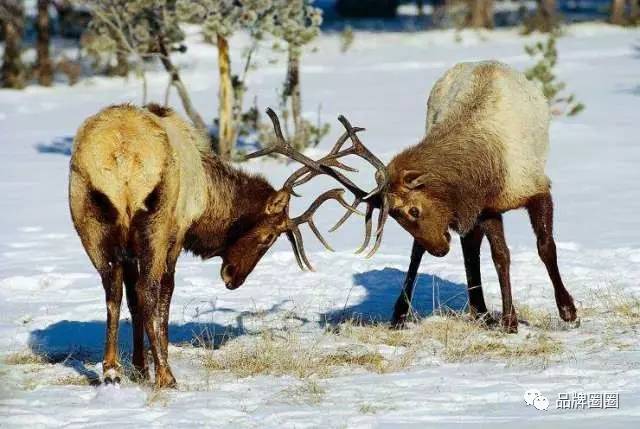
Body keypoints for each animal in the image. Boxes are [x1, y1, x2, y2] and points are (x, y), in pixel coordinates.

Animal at [68, 104, 376, 388]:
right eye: (269, 237)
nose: (233, 278)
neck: (208, 195)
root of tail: (121, 155)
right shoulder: (177, 233)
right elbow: (163, 296)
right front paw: (156, 366)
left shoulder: (131, 252)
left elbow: (130, 301)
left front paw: (141, 368)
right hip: (156, 223)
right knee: (148, 291)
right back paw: (166, 376)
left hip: (89, 222)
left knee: (113, 292)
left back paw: (111, 370)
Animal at [302, 61, 580, 332]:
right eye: (393, 216)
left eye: (414, 210)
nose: (437, 250)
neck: (484, 171)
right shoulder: (486, 207)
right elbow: (501, 256)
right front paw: (509, 320)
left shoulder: (534, 189)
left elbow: (544, 247)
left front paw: (567, 311)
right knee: (441, 251)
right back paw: (417, 312)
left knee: (467, 247)